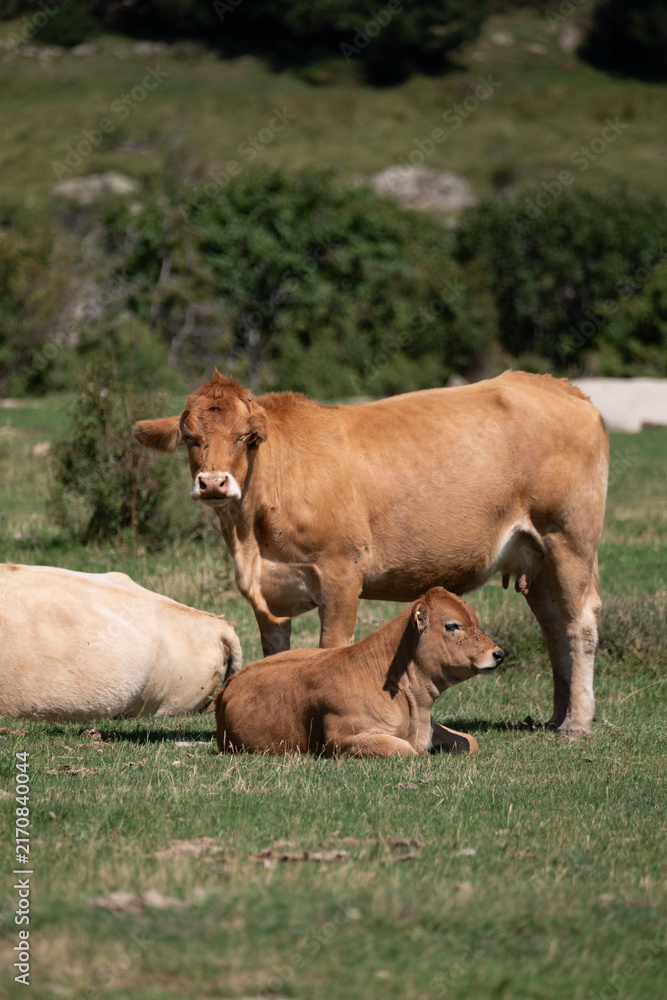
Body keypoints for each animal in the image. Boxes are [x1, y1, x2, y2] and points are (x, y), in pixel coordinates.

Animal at [134, 369, 609, 737]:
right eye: (190, 437)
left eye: (247, 437)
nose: (213, 483)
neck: (250, 535)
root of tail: (557, 386)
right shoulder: (268, 590)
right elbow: (275, 653)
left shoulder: (341, 571)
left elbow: (330, 647)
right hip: (537, 558)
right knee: (554, 628)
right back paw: (556, 717)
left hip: (569, 538)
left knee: (580, 624)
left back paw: (577, 723)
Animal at [215, 588, 503, 757]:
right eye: (452, 625)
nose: (499, 653)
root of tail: (231, 683)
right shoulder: (343, 740)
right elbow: (406, 750)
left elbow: (471, 741)